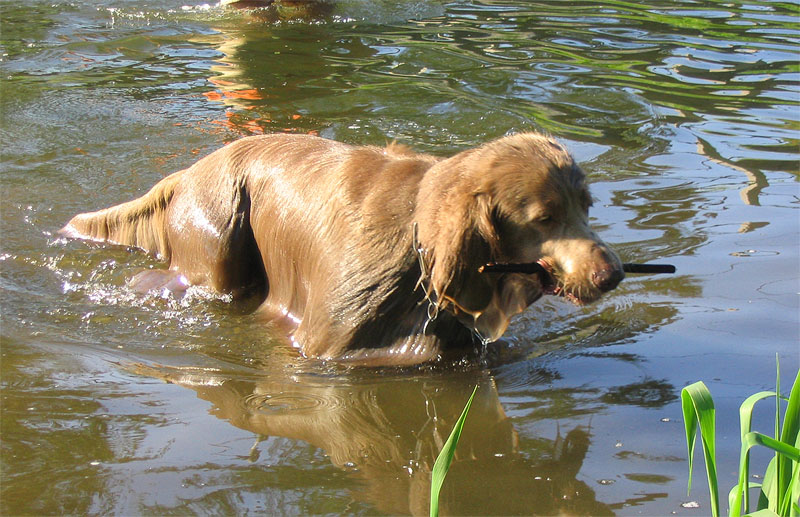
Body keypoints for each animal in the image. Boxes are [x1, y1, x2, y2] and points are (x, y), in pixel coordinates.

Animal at [61, 132, 624, 366]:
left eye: (587, 206)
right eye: (545, 218)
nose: (612, 273)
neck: (416, 251)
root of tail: (190, 170)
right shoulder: (323, 343)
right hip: (217, 239)